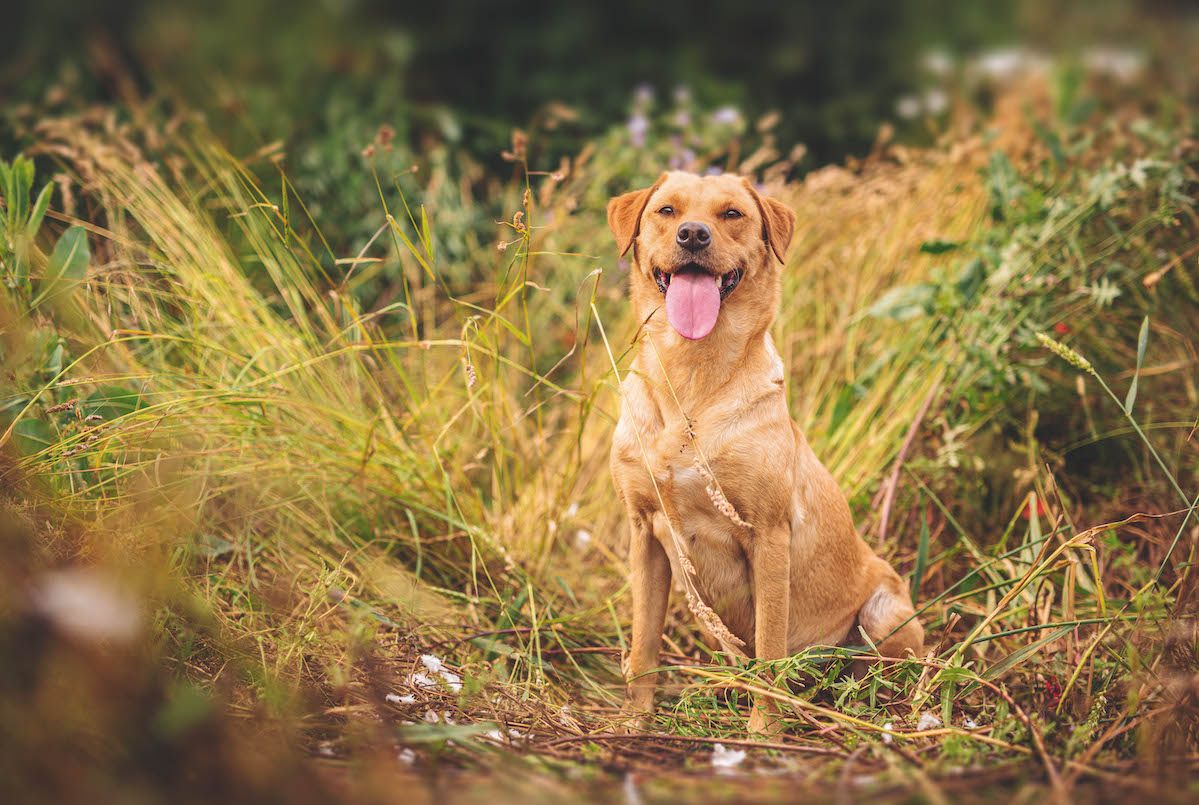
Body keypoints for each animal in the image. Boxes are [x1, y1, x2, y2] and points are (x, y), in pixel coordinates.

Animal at [604, 170, 920, 729]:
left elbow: (771, 644)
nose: (693, 234)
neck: (692, 372)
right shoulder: (644, 533)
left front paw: (763, 730)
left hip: (886, 614)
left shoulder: (769, 536)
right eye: (667, 210)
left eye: (732, 214)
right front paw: (634, 719)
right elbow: (643, 644)